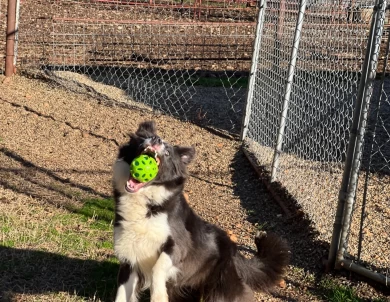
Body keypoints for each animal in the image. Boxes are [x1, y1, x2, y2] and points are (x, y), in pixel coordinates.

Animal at [112, 121, 290, 302]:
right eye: (145, 138)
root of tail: (235, 252)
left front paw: (159, 295)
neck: (149, 203)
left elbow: (158, 268)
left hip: (221, 289)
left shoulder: (179, 245)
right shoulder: (129, 256)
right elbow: (121, 292)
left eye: (168, 152)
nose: (156, 139)